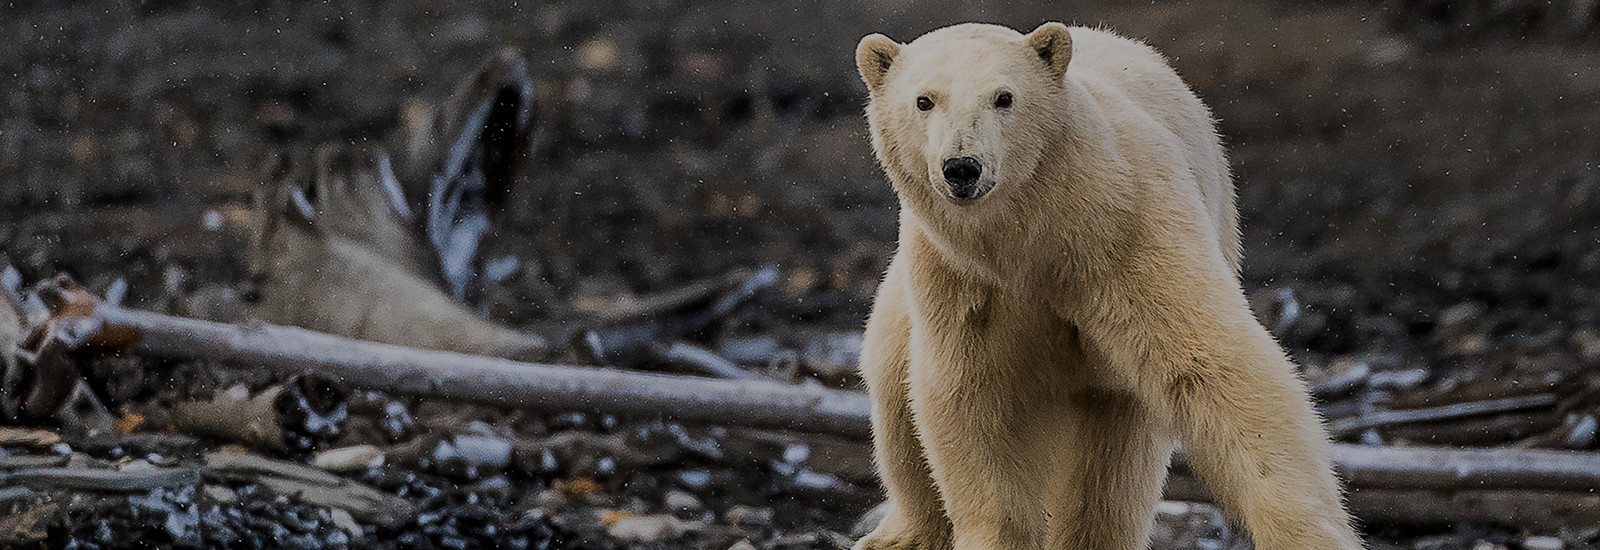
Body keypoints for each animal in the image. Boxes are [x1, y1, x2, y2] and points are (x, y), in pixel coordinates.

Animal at [851, 22, 1363, 550]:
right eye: (924, 100)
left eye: (1003, 97)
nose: (961, 167)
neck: (1034, 236)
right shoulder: (960, 279)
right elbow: (966, 397)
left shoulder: (1127, 235)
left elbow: (1215, 366)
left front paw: (1308, 531)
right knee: (892, 384)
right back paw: (901, 535)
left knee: (1113, 460)